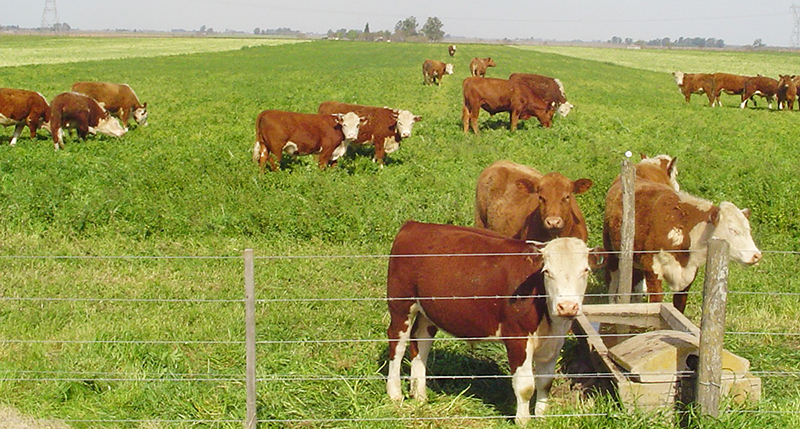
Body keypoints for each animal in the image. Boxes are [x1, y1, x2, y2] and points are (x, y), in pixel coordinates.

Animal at [386, 221, 600, 424]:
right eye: (547, 272)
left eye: (585, 270)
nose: (567, 306)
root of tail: (414, 225)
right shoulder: (516, 337)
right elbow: (525, 386)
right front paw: (523, 421)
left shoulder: (554, 341)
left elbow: (545, 382)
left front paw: (542, 417)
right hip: (401, 304)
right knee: (397, 343)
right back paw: (395, 393)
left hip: (427, 311)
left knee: (420, 342)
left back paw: (419, 395)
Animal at [608, 179, 764, 312]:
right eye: (733, 230)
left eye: (748, 229)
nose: (756, 255)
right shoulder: (652, 267)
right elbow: (656, 301)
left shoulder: (689, 275)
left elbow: (679, 306)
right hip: (613, 253)